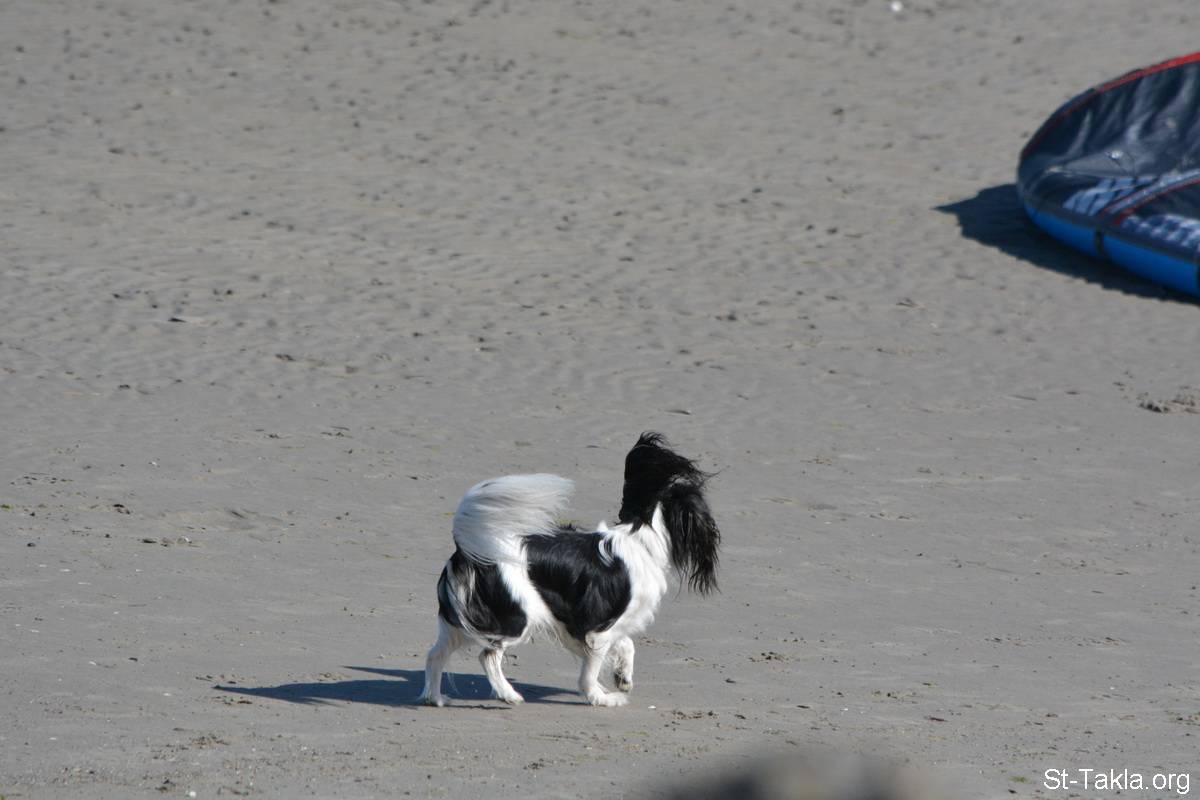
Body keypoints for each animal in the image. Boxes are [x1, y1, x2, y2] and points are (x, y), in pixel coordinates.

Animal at [419, 432, 720, 707]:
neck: (640, 538)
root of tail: (468, 549)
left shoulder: (602, 624)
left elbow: (626, 644)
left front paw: (623, 678)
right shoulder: (597, 628)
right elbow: (591, 671)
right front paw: (602, 697)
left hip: (458, 623)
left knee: (435, 654)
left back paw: (435, 698)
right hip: (515, 620)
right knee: (488, 656)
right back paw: (508, 695)